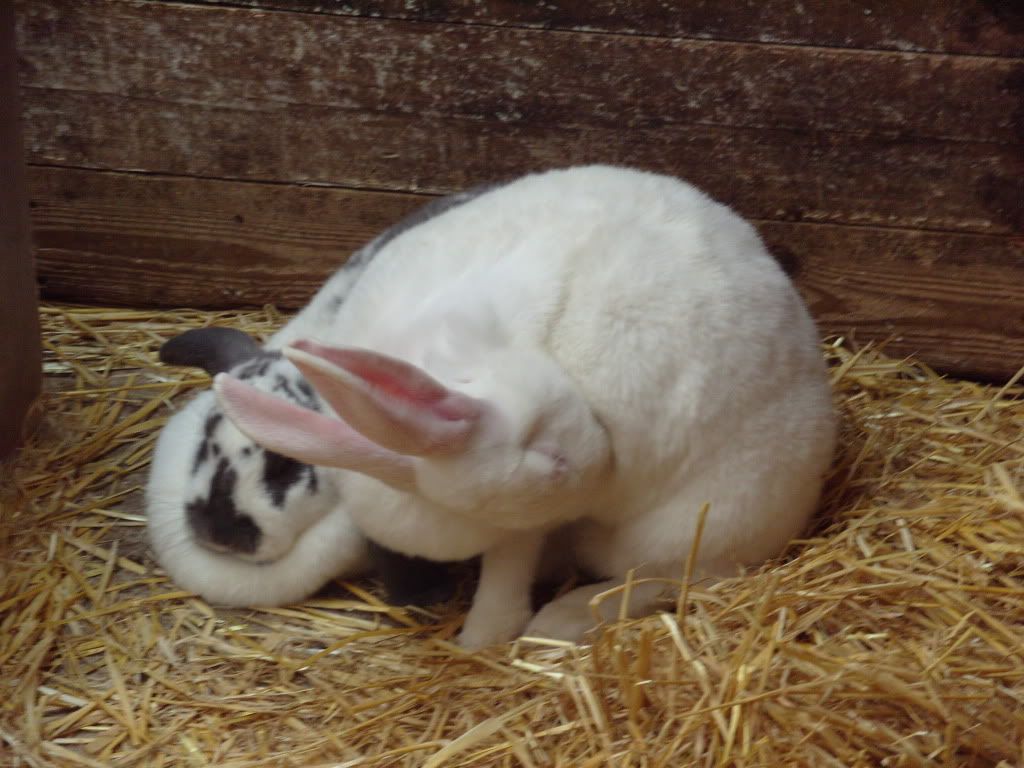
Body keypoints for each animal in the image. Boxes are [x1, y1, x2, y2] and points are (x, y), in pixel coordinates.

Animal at [211, 164, 837, 648]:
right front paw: (482, 638)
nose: (598, 462)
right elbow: (511, 555)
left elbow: (513, 562)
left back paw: (559, 622)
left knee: (676, 578)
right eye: (552, 461)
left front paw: (492, 633)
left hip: (698, 524)